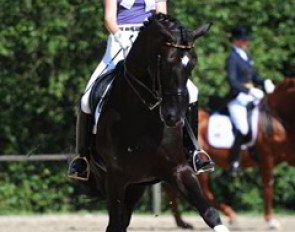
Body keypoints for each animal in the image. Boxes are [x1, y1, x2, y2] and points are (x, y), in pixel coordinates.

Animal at [86, 14, 230, 232]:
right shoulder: (116, 177)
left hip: (137, 185)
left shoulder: (179, 169)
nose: (174, 117)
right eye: (166, 62)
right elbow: (116, 223)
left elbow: (209, 213)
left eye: (192, 64)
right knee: (115, 223)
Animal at [166, 78, 295, 230]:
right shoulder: (266, 158)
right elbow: (268, 187)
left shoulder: (289, 156)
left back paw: (183, 222)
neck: (278, 118)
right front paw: (271, 220)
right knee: (203, 192)